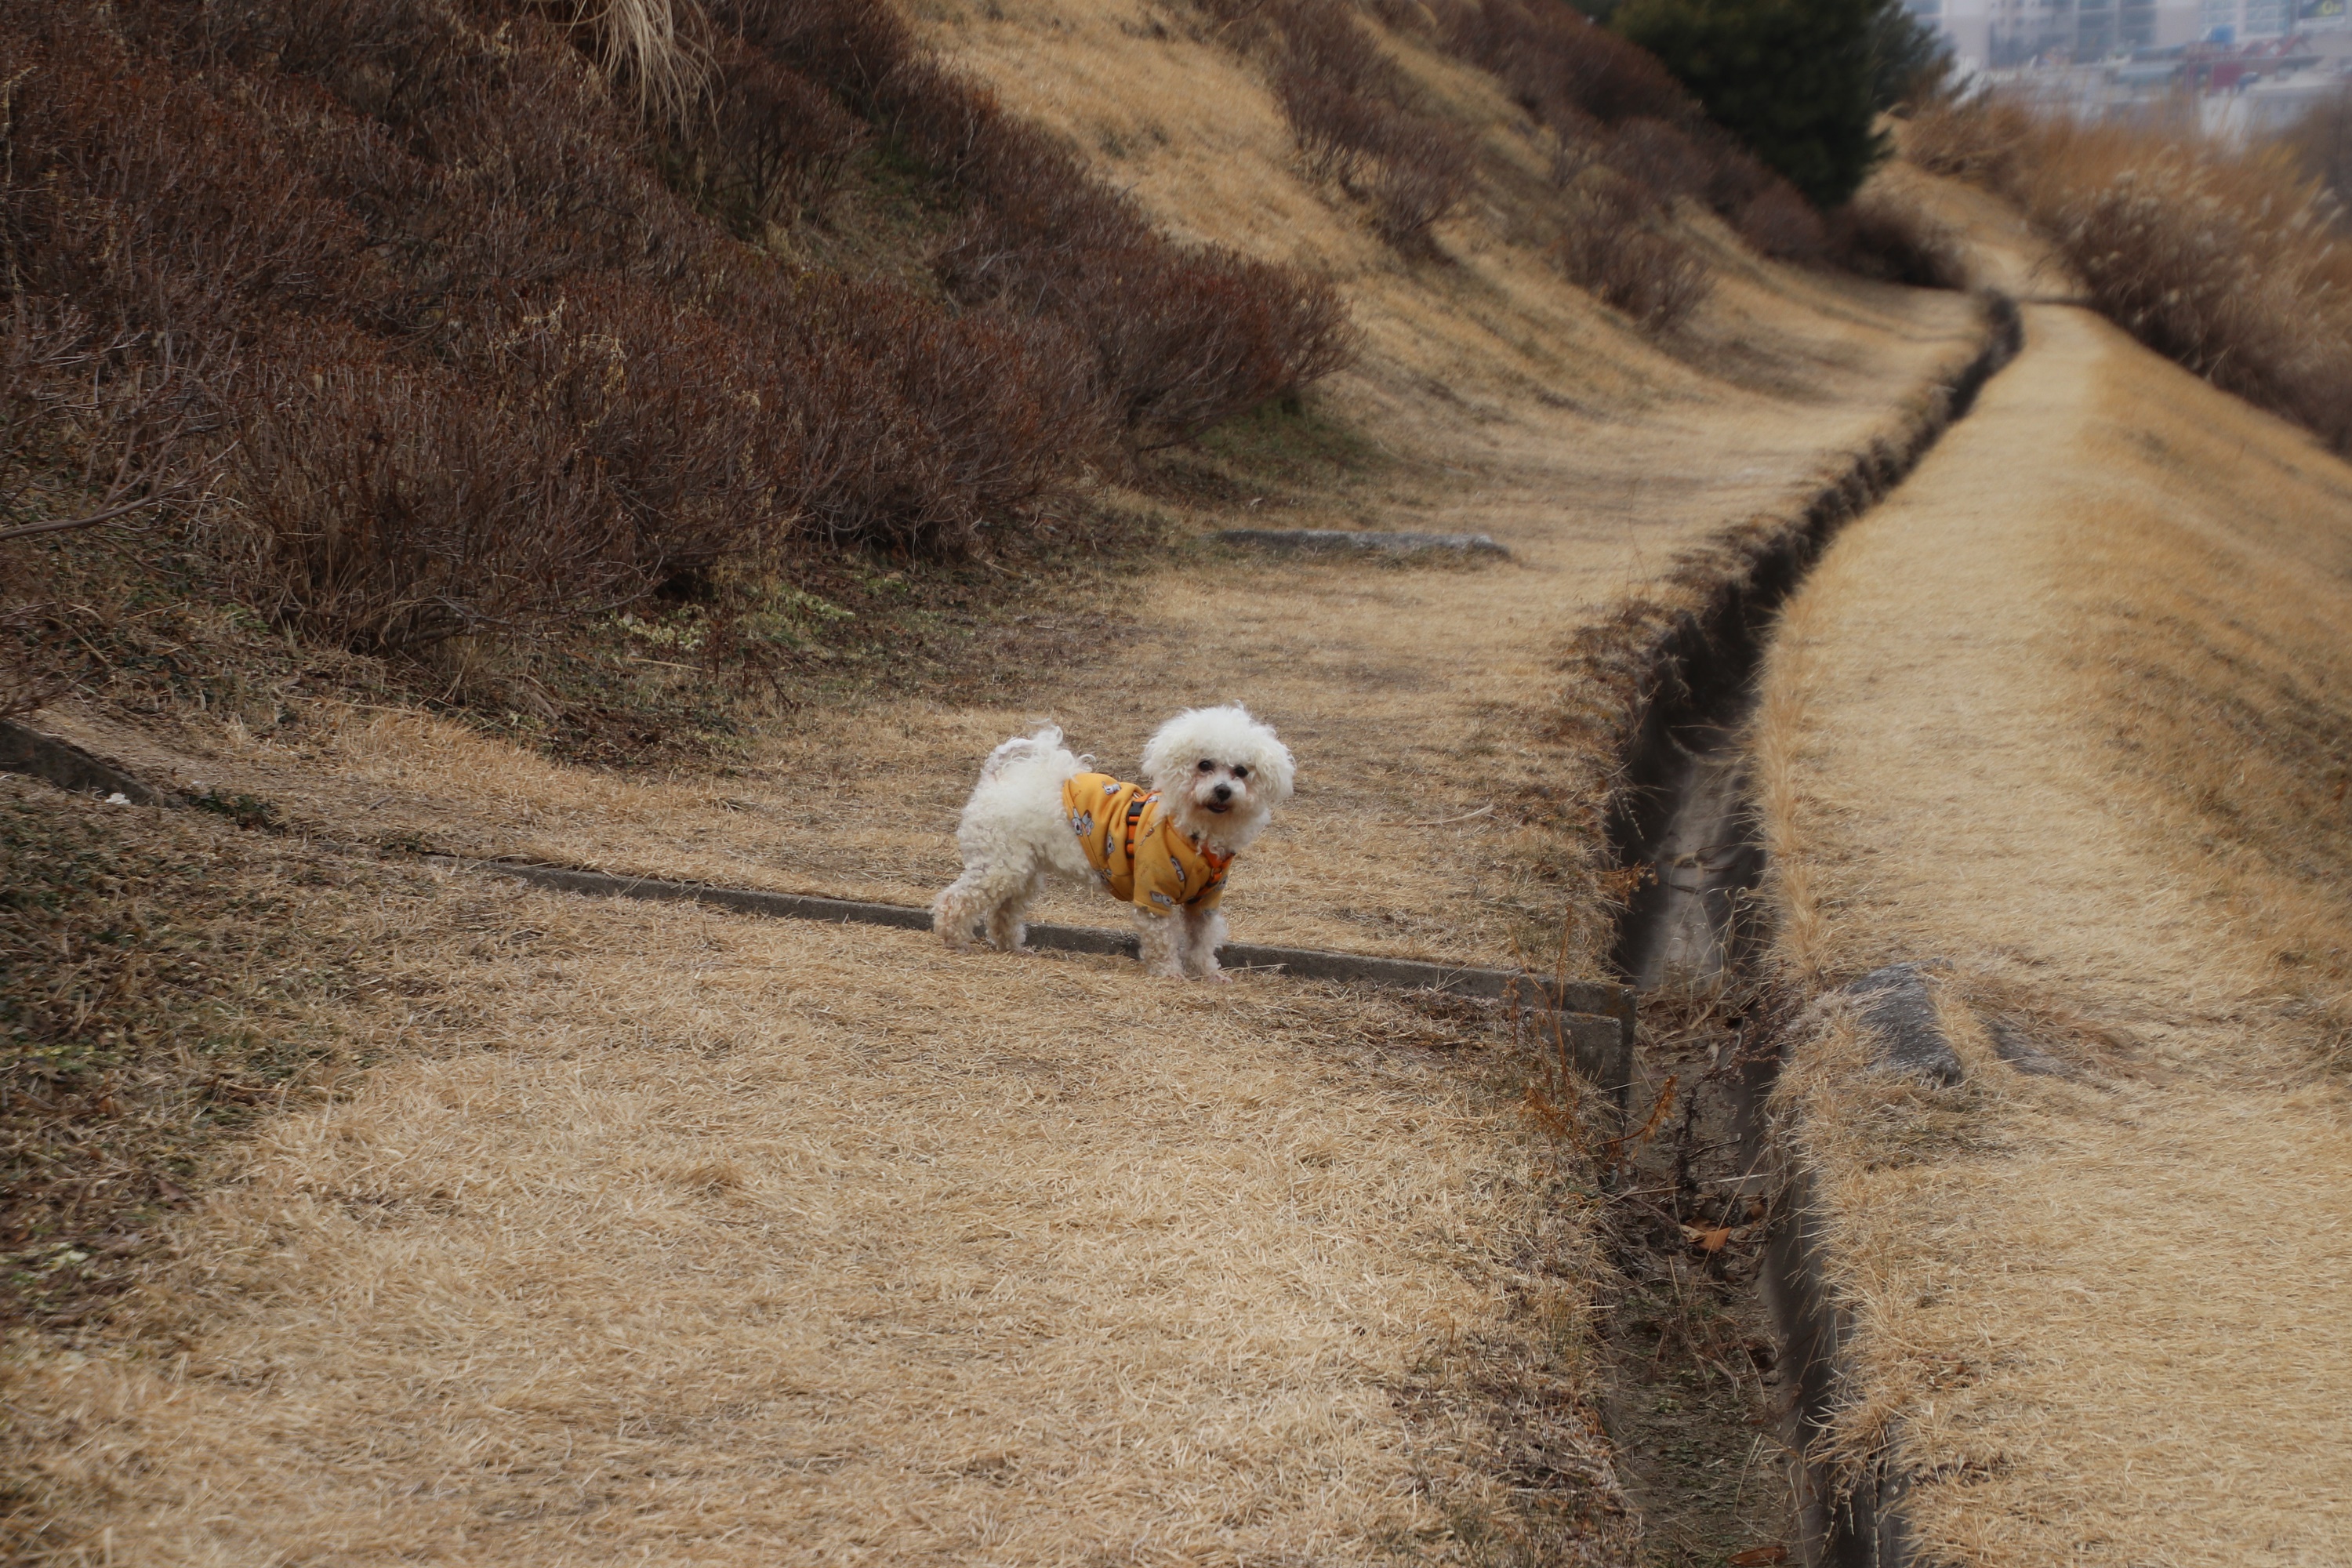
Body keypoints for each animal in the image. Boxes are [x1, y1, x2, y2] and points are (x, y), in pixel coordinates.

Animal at [933, 705, 1294, 981]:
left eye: (1241, 771)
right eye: (1204, 765)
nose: (1222, 790)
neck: (1194, 834)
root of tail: (995, 779)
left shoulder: (1204, 903)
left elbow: (1202, 942)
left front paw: (1208, 974)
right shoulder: (1154, 895)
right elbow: (1162, 941)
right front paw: (1170, 974)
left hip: (1024, 870)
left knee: (1004, 912)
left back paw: (1012, 946)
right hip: (1000, 865)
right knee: (955, 900)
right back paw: (953, 939)